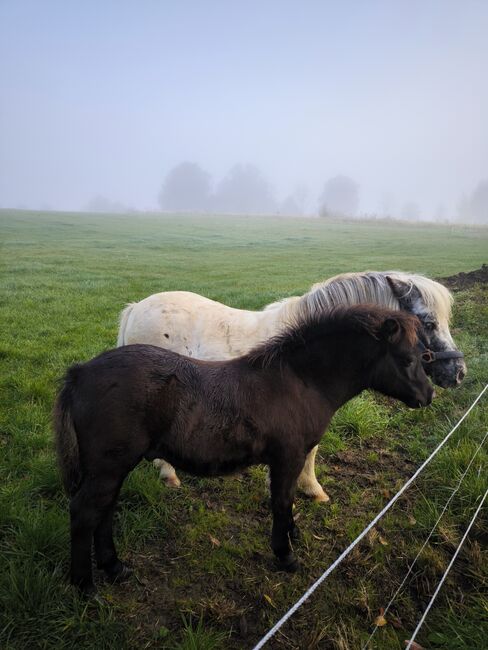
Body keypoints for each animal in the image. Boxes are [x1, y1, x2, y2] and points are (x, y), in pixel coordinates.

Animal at [54, 306, 434, 592]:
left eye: (423, 355)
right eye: (406, 358)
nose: (428, 395)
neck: (299, 382)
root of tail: (80, 373)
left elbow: (288, 499)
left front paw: (292, 536)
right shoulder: (288, 457)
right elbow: (281, 501)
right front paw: (285, 555)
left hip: (112, 469)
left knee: (104, 511)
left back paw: (115, 568)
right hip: (108, 467)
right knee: (85, 512)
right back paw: (85, 585)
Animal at [118, 270, 466, 498]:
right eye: (428, 323)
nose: (459, 372)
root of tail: (136, 308)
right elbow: (311, 453)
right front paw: (313, 490)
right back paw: (169, 475)